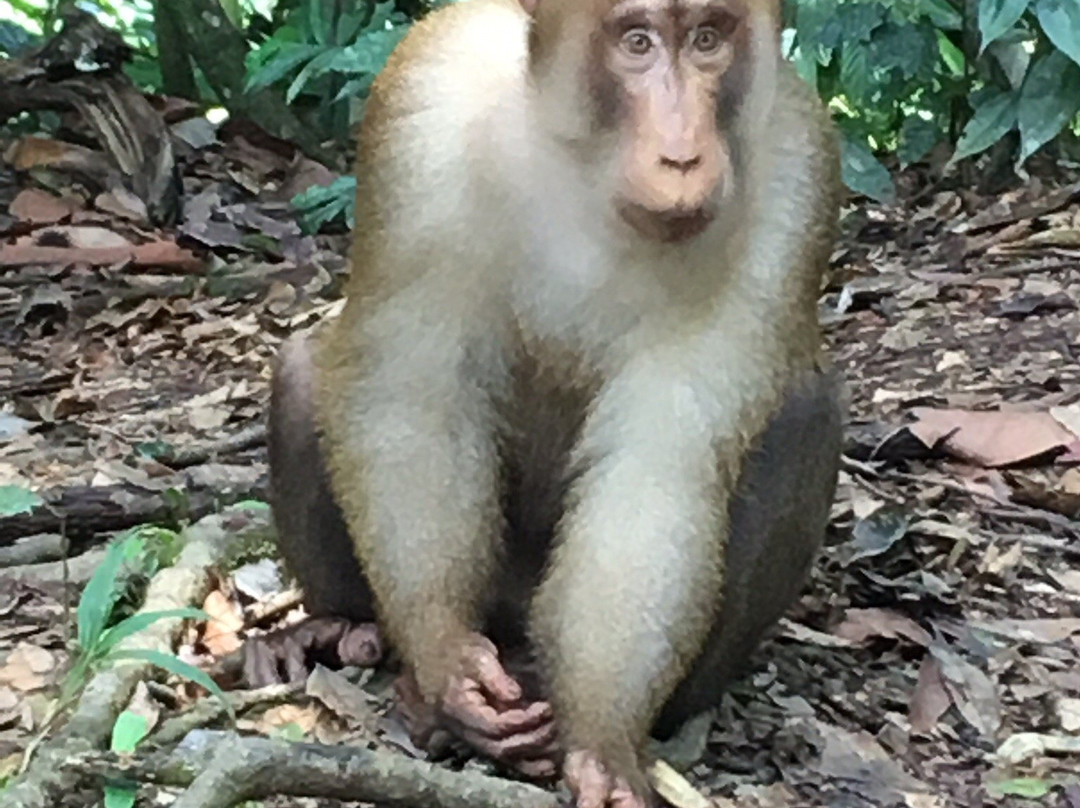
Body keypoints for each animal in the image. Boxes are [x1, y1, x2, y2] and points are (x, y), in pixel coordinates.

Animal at [245, 0, 844, 805]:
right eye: (636, 41)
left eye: (708, 39)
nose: (683, 157)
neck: (591, 169)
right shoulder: (425, 101)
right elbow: (411, 392)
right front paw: (446, 661)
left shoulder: (796, 175)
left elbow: (658, 470)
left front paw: (601, 742)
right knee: (310, 366)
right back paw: (345, 633)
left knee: (803, 412)